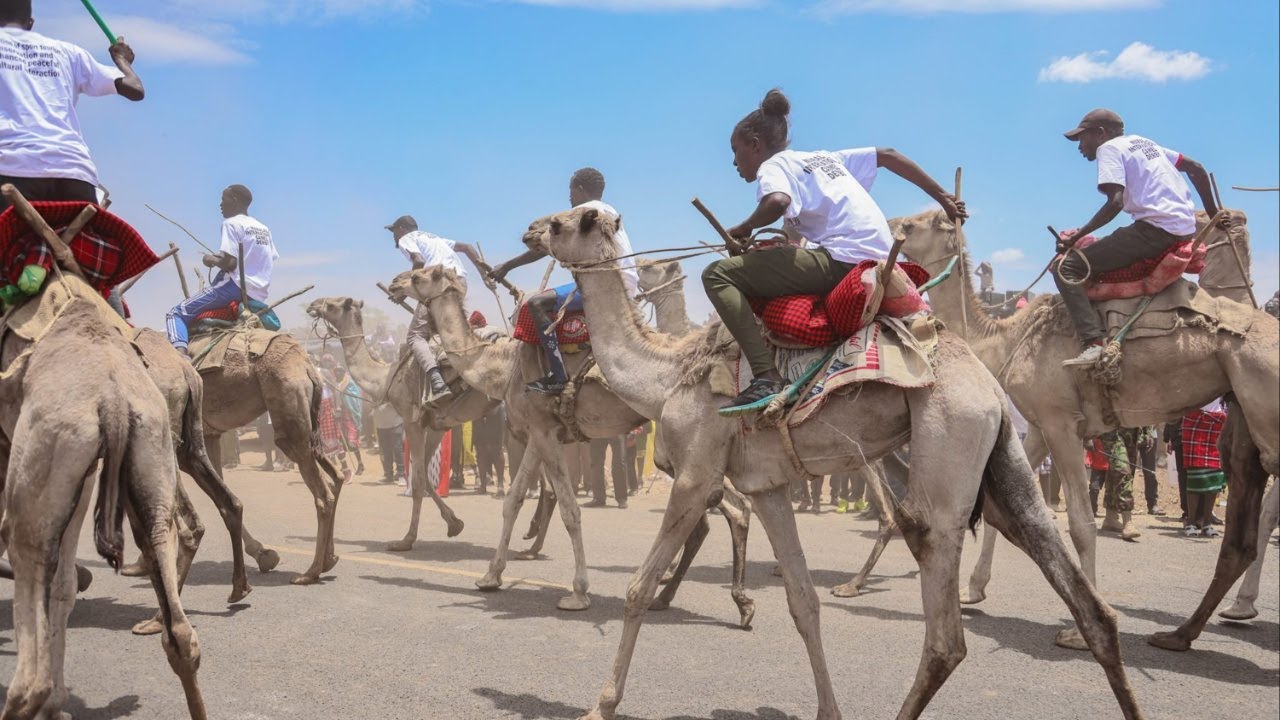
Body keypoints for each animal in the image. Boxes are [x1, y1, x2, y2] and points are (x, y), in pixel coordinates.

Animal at [305, 298, 482, 551]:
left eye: (333, 304)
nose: (313, 304)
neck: (385, 377)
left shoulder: (411, 420)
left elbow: (417, 481)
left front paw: (406, 540)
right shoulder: (437, 424)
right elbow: (425, 475)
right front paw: (454, 523)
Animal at [541, 206, 1140, 720]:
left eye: (560, 223)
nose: (530, 232)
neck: (669, 373)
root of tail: (986, 382)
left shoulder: (695, 473)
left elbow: (639, 588)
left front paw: (601, 705)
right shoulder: (767, 487)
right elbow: (803, 602)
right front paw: (827, 708)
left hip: (950, 444)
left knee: (944, 628)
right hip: (1002, 462)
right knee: (1088, 603)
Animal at [892, 208, 1279, 651]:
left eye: (914, 224)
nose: (889, 224)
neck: (1005, 339)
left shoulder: (1061, 423)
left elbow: (1080, 523)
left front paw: (1081, 631)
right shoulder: (1038, 426)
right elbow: (1000, 510)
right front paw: (972, 590)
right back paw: (1201, 624)